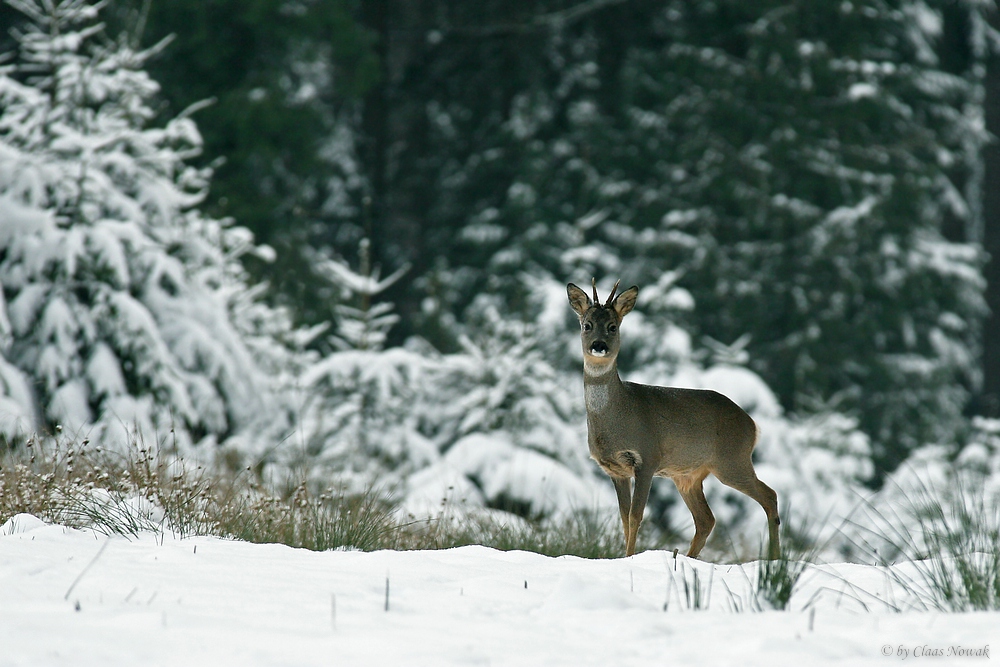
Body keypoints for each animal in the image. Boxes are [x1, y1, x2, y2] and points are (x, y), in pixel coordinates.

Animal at [568, 280, 776, 560]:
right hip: (689, 476)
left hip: (732, 460)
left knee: (769, 495)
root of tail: (752, 425)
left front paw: (630, 557)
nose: (599, 345)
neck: (617, 417)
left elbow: (635, 516)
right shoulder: (615, 469)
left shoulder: (647, 457)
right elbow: (623, 518)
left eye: (613, 326)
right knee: (706, 519)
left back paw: (775, 559)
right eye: (587, 324)